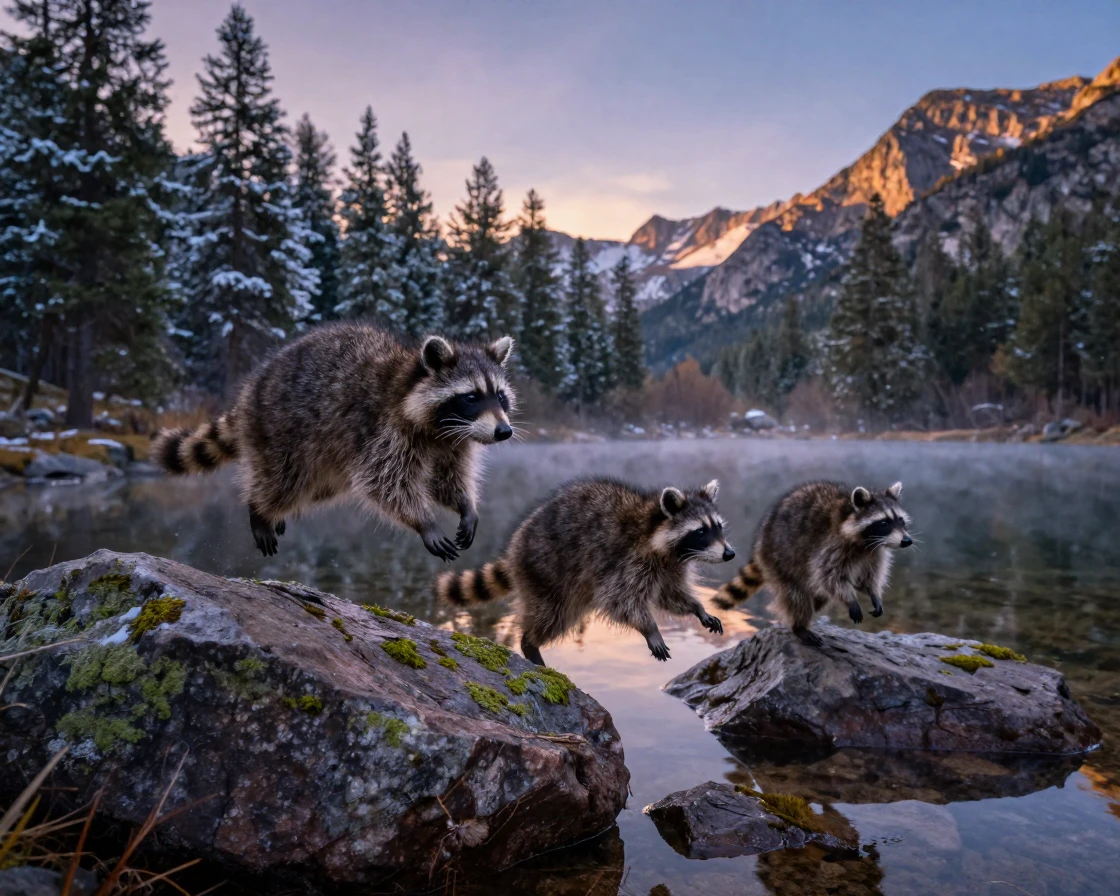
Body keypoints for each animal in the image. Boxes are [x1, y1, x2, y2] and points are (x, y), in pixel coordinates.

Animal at [152, 323, 515, 560]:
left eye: (499, 396)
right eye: (471, 397)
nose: (504, 432)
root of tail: (250, 391)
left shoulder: (453, 443)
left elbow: (446, 479)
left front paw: (466, 505)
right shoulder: (385, 431)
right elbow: (385, 483)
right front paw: (424, 522)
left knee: (311, 489)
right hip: (281, 430)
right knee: (284, 480)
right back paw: (259, 508)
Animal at [435, 476, 735, 666]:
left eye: (719, 527)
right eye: (700, 531)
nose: (730, 554)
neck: (655, 533)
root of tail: (515, 546)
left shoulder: (669, 568)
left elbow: (671, 595)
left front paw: (697, 608)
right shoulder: (627, 562)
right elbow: (621, 602)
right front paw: (650, 628)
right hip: (547, 570)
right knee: (552, 615)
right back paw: (529, 643)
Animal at [714, 481, 912, 647]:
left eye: (901, 520)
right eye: (884, 523)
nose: (907, 541)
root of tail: (762, 541)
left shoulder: (875, 553)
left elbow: (868, 577)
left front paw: (874, 593)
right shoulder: (832, 546)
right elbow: (829, 576)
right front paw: (851, 599)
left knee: (818, 595)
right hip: (780, 558)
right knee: (797, 595)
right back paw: (799, 625)